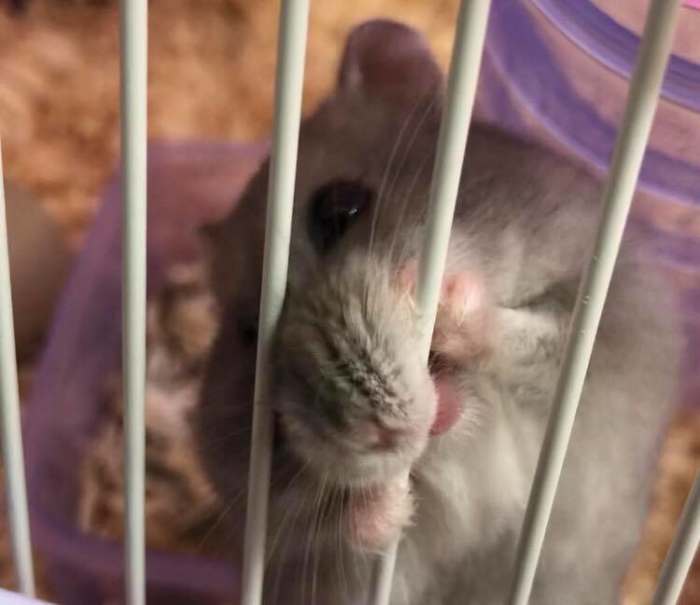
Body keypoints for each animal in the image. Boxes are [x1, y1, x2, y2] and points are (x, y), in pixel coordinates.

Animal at [194, 18, 680, 604]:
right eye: (246, 333)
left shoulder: (619, 331)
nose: (386, 432)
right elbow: (323, 523)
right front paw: (387, 502)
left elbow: (546, 342)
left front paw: (439, 302)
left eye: (340, 207)